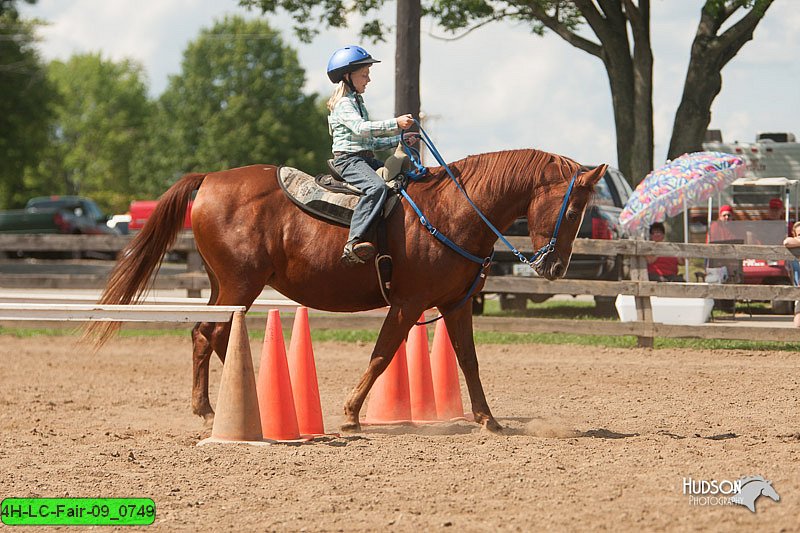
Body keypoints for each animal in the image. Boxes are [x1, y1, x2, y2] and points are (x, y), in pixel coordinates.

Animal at [87, 150, 608, 432]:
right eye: (574, 208)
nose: (556, 267)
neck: (450, 211)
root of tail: (211, 179)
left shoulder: (456, 305)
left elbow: (468, 360)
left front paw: (488, 420)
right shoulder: (408, 304)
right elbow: (382, 355)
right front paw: (352, 414)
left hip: (227, 285)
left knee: (209, 335)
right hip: (240, 283)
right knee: (209, 334)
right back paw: (217, 410)